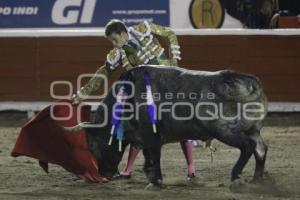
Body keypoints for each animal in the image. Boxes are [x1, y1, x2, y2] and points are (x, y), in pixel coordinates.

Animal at [64, 66, 268, 188]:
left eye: (92, 144)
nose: (104, 174)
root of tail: (251, 83)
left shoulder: (152, 136)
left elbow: (155, 157)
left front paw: (156, 182)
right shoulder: (142, 138)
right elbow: (148, 157)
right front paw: (150, 177)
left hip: (225, 131)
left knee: (247, 147)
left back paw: (236, 176)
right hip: (253, 130)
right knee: (261, 149)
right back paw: (257, 180)